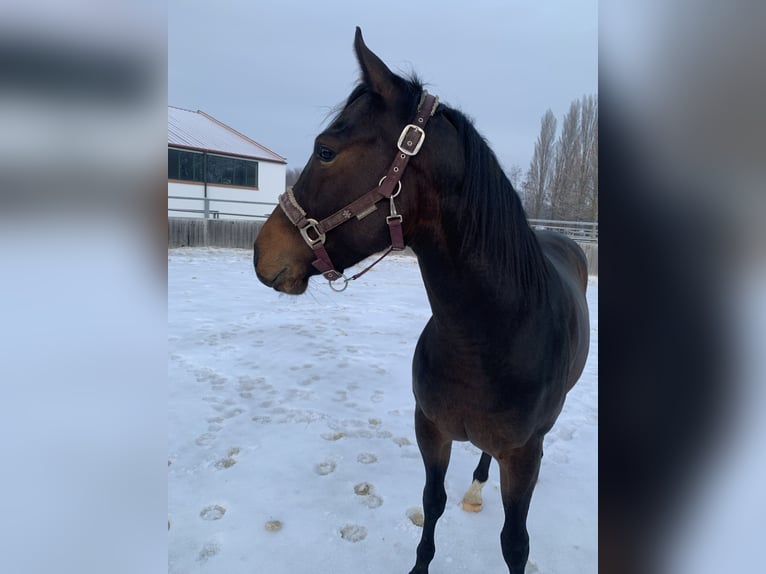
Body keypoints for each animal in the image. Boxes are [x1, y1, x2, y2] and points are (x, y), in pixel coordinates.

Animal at [253, 27, 590, 574]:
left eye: (325, 150)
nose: (262, 252)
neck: (488, 338)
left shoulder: (524, 455)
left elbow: (515, 542)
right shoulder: (430, 429)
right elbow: (433, 503)